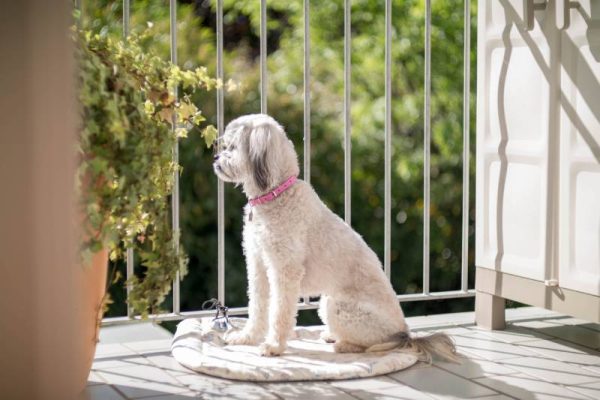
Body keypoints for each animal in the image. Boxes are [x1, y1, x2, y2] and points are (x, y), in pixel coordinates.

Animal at [213, 113, 458, 360]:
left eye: (232, 147)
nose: (215, 158)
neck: (277, 193)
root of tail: (404, 333)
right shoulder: (258, 265)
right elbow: (257, 306)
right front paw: (247, 337)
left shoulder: (285, 271)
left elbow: (280, 312)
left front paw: (273, 346)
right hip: (326, 303)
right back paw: (333, 336)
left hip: (337, 306)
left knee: (372, 344)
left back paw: (343, 345)